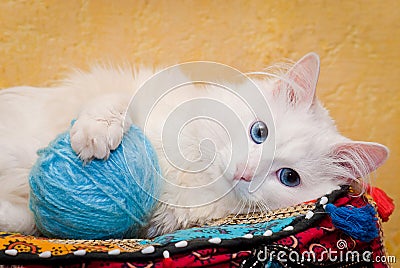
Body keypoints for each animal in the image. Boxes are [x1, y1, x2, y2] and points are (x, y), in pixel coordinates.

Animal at [0, 52, 388, 237]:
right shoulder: (134, 95)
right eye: (259, 132)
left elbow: (27, 219)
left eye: (289, 178)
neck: (192, 174)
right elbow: (112, 105)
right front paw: (94, 137)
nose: (245, 173)